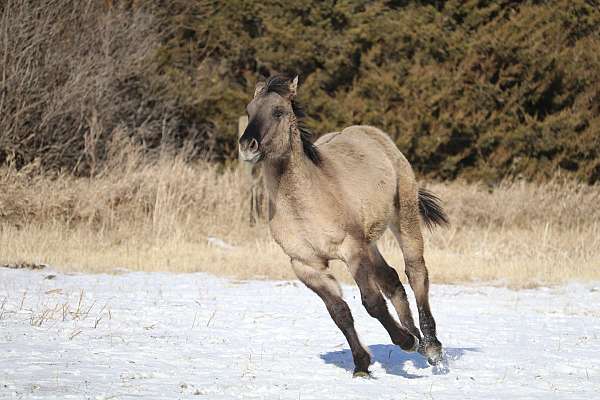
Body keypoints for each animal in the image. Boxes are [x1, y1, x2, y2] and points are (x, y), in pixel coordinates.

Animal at [237, 75, 448, 378]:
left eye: (278, 111)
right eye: (249, 109)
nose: (247, 146)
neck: (306, 204)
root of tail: (374, 135)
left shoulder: (352, 251)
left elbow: (372, 302)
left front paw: (405, 341)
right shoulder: (306, 265)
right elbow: (339, 312)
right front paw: (362, 364)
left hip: (403, 217)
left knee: (416, 271)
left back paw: (430, 346)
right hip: (370, 242)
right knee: (392, 279)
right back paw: (416, 336)